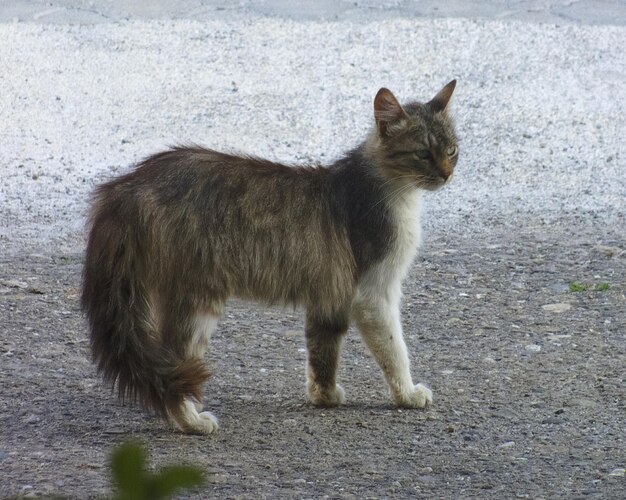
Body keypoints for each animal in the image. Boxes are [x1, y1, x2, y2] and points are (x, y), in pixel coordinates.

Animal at [80, 81, 456, 434]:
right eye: (423, 153)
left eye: (452, 149)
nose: (447, 174)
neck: (390, 188)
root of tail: (130, 184)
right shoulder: (373, 293)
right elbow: (395, 351)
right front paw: (407, 394)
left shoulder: (328, 293)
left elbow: (322, 351)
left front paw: (324, 396)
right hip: (199, 299)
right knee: (176, 368)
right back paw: (192, 421)